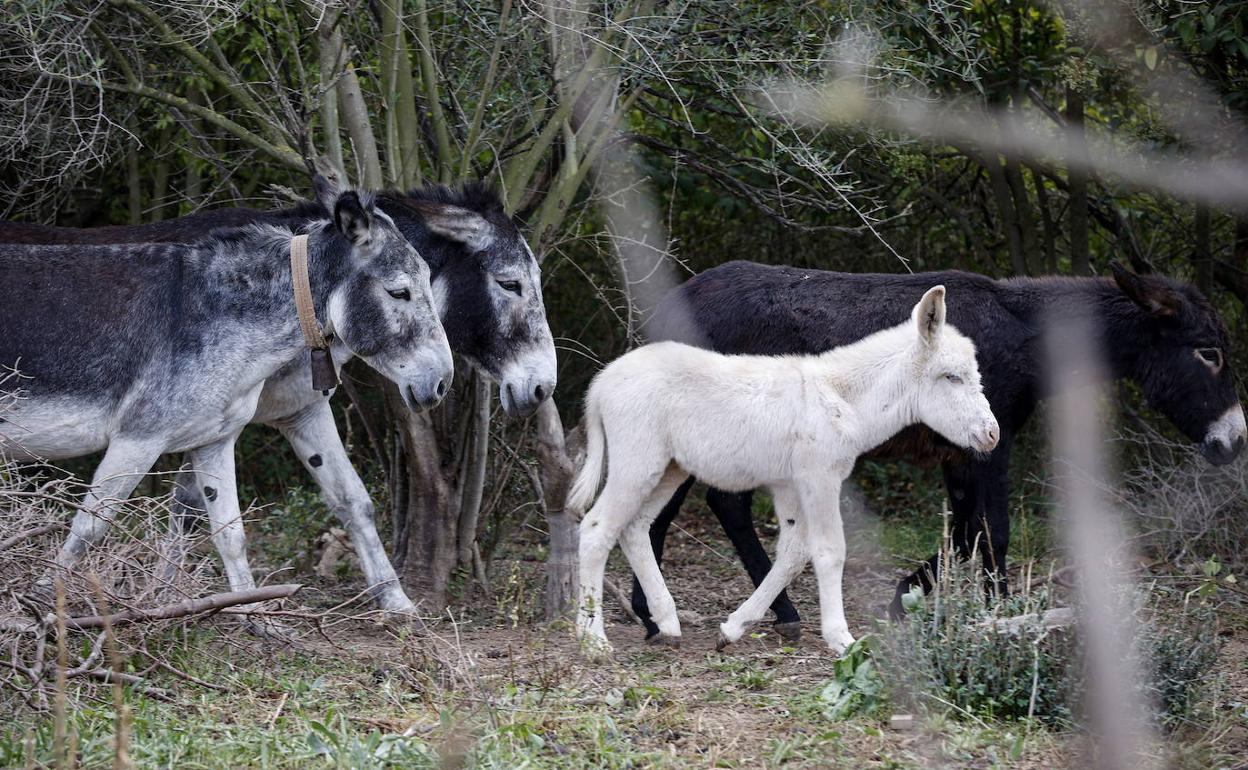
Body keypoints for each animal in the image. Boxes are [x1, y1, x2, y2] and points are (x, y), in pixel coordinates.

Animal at [571, 285, 998, 653]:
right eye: (952, 377)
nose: (992, 435)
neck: (841, 399)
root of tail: (601, 381)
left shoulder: (790, 486)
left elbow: (793, 554)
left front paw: (734, 628)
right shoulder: (820, 478)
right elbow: (829, 550)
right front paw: (841, 639)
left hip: (668, 468)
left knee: (634, 528)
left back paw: (667, 623)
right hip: (637, 461)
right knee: (596, 527)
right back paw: (592, 640)